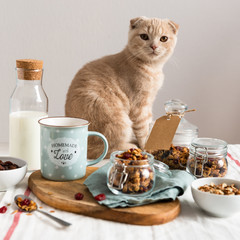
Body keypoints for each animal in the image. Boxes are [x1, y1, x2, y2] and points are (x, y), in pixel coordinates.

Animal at [65, 17, 178, 159]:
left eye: (163, 38)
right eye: (144, 36)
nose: (154, 46)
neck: (152, 67)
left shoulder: (149, 102)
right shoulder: (140, 106)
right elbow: (143, 129)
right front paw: (147, 146)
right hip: (119, 120)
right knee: (101, 150)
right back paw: (129, 146)